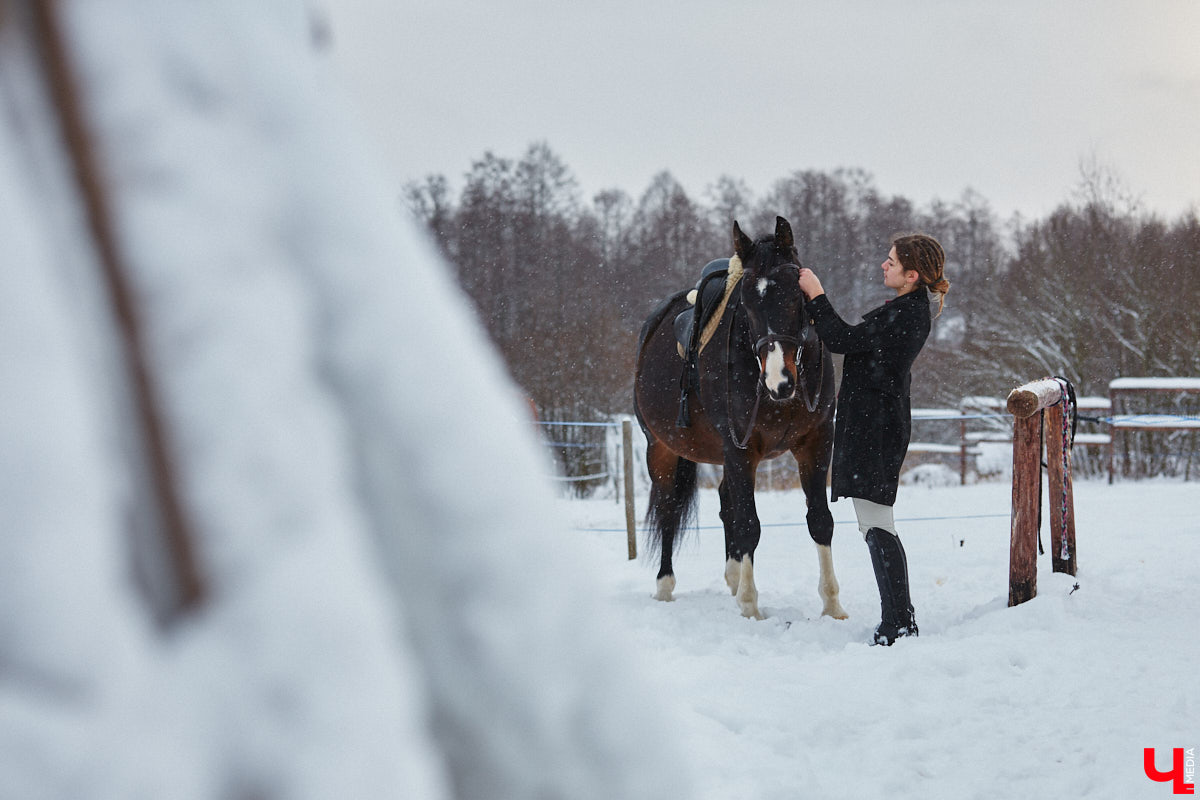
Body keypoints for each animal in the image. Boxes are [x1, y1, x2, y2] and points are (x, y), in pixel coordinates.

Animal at [638, 215, 844, 623]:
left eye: (795, 295)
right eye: (746, 304)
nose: (780, 381)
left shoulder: (815, 442)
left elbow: (819, 520)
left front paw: (832, 605)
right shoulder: (740, 448)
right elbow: (748, 523)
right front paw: (750, 606)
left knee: (724, 503)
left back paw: (733, 578)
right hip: (663, 450)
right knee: (669, 509)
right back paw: (665, 586)